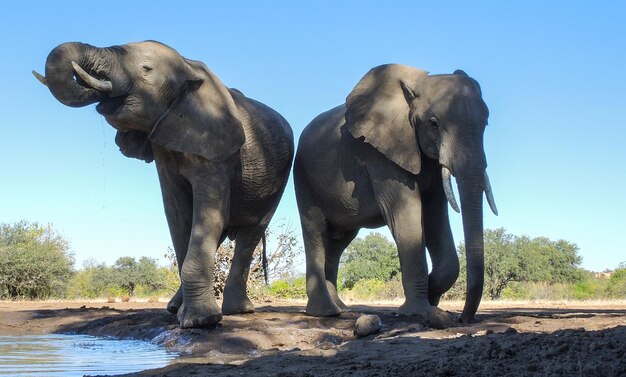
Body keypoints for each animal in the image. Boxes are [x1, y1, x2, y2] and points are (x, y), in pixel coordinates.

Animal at [35, 41, 294, 328]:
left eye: (146, 68)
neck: (188, 67)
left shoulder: (219, 151)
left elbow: (209, 213)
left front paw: (200, 322)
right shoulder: (164, 150)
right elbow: (177, 215)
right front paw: (185, 315)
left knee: (251, 233)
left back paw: (239, 311)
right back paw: (175, 307)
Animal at [294, 63, 498, 322]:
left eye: (486, 123)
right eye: (433, 123)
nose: (463, 319)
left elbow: (434, 215)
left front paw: (432, 301)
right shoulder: (379, 154)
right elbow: (407, 215)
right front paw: (421, 311)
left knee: (338, 243)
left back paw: (341, 309)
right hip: (303, 176)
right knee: (315, 232)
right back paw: (325, 312)